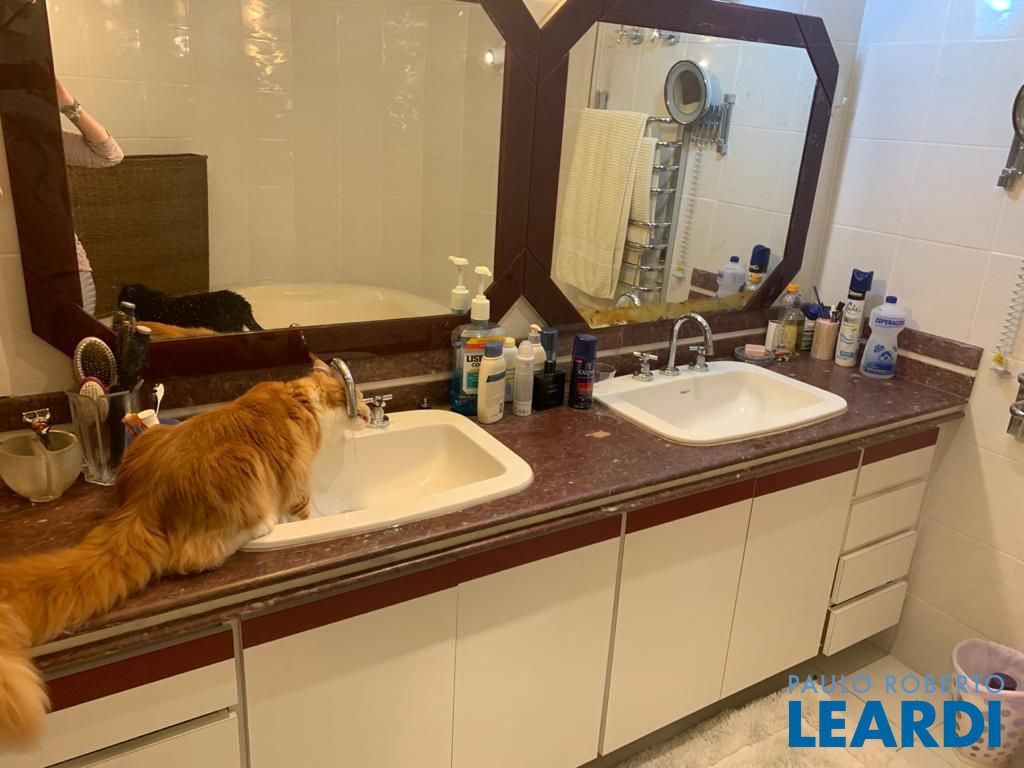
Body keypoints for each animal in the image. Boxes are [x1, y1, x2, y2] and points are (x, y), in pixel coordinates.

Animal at [0, 358, 369, 747]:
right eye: (359, 397)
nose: (368, 409)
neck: (302, 398)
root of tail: (143, 501)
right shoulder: (298, 485)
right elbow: (303, 513)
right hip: (242, 463)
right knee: (197, 556)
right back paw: (261, 526)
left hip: (151, 437)